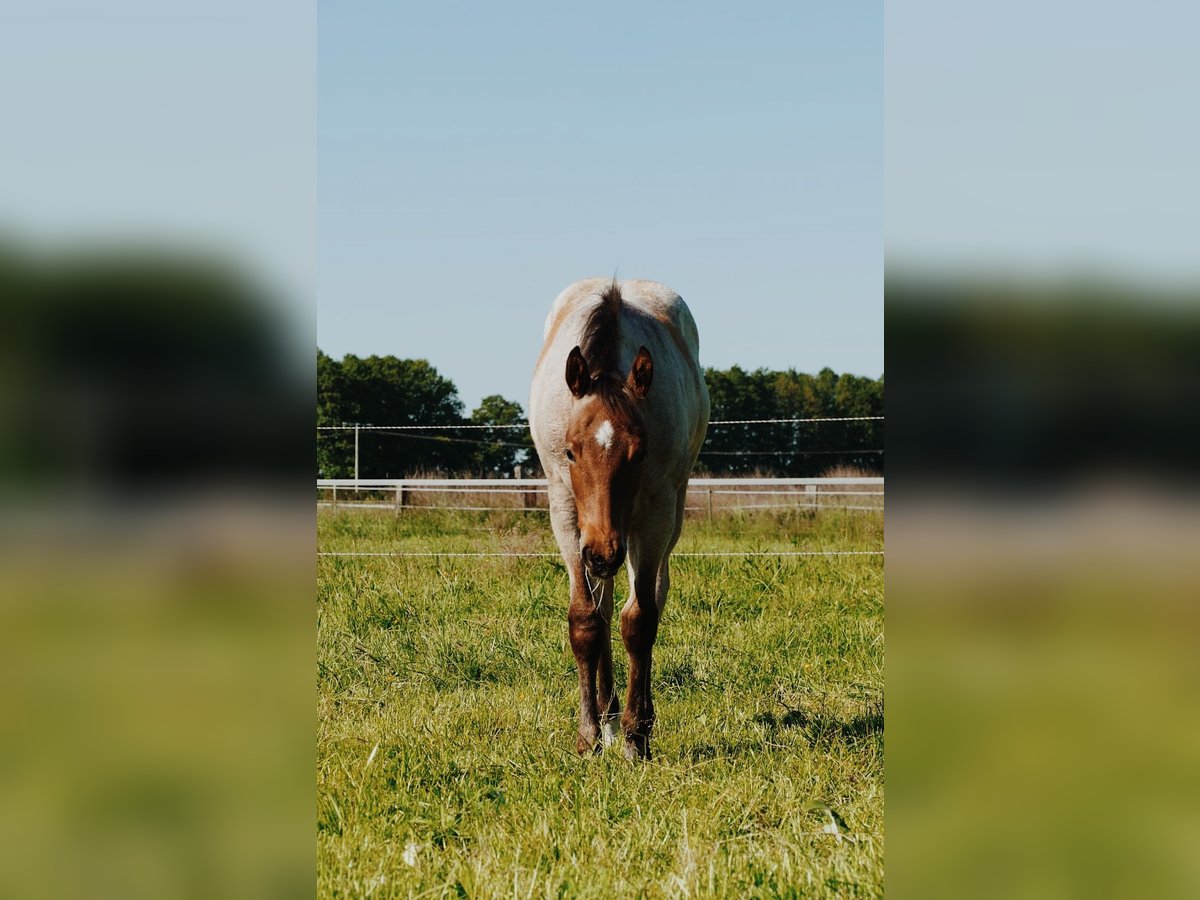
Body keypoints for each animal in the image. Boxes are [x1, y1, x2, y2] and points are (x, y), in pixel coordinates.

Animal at [529, 278, 709, 760]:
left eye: (640, 453)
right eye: (570, 451)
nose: (603, 553)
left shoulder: (654, 513)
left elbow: (640, 621)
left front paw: (635, 736)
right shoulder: (567, 514)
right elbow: (586, 621)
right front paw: (589, 734)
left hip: (659, 521)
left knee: (651, 597)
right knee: (606, 606)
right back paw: (607, 719)